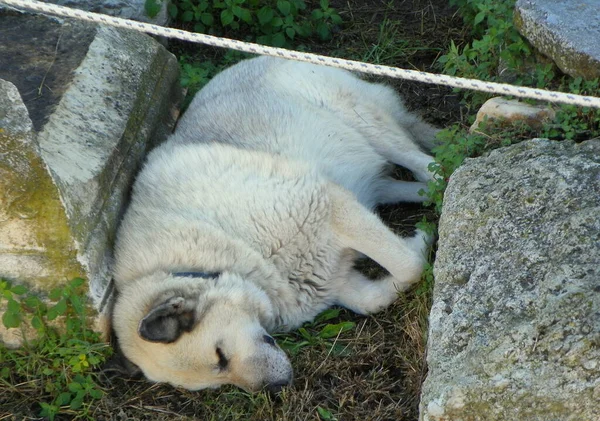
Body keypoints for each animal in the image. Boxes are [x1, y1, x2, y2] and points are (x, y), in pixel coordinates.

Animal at [110, 55, 436, 390]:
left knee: (429, 167)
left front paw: (422, 245)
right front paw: (421, 238)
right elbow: (374, 298)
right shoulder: (335, 279)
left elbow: (409, 266)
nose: (275, 388)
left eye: (220, 356)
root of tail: (257, 58)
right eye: (219, 383)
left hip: (367, 126)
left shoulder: (331, 205)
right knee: (409, 186)